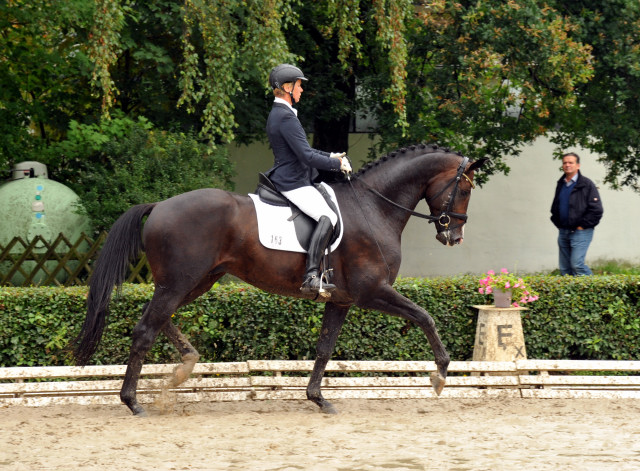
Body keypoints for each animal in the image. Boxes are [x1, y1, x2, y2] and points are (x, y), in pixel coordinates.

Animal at [74, 145, 484, 416]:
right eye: (464, 189)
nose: (454, 237)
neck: (374, 208)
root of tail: (159, 205)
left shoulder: (342, 300)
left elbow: (324, 348)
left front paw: (318, 398)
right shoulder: (373, 292)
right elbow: (425, 317)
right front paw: (440, 375)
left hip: (195, 281)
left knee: (158, 321)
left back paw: (183, 368)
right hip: (179, 283)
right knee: (146, 328)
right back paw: (133, 402)